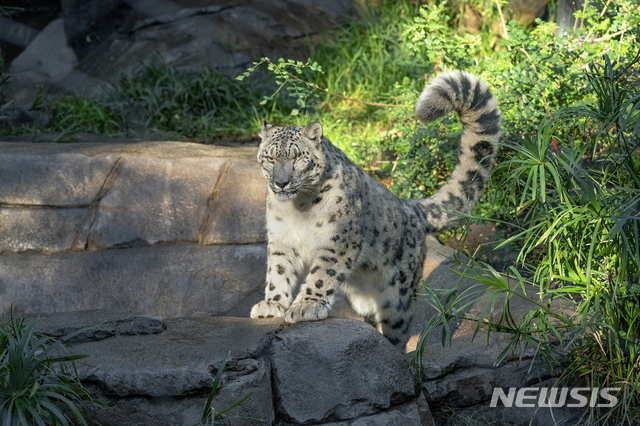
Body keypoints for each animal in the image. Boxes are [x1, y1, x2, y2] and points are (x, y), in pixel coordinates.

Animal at [249, 70, 500, 350]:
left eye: (297, 158)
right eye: (270, 158)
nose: (281, 182)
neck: (298, 208)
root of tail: (410, 206)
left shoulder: (339, 238)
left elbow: (322, 274)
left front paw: (306, 306)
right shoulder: (281, 237)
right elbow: (278, 270)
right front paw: (272, 305)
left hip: (397, 294)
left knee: (399, 324)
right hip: (364, 299)